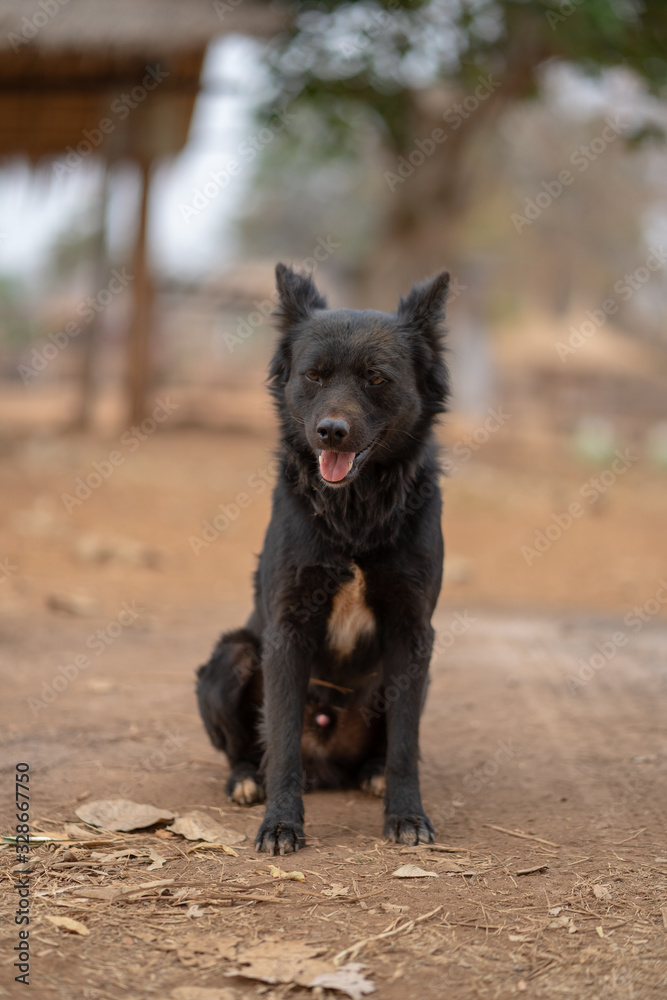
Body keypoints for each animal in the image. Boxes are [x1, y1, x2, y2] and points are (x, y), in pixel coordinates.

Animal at [197, 262, 448, 856]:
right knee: (250, 747)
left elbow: (406, 743)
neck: (354, 512)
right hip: (231, 657)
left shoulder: (413, 631)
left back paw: (371, 772)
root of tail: (328, 766)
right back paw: (247, 779)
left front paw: (406, 814)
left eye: (376, 378)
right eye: (313, 376)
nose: (331, 431)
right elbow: (283, 739)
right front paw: (281, 823)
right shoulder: (288, 628)